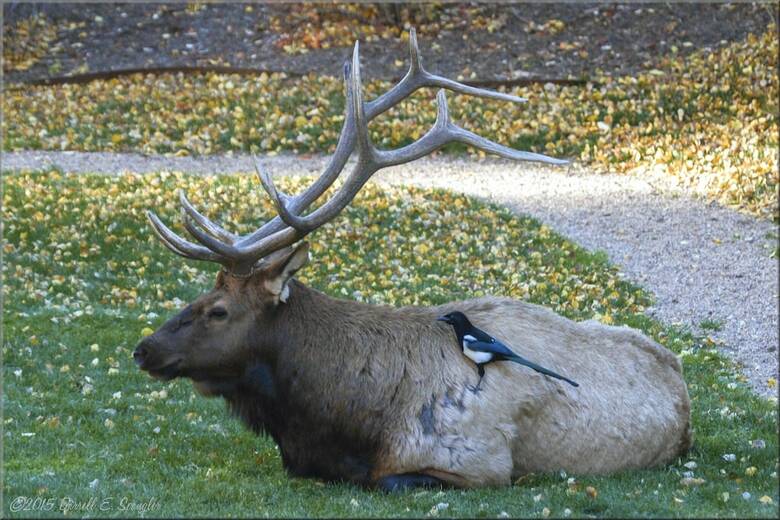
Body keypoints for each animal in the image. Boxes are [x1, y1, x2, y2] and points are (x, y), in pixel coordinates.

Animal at [134, 30, 692, 491]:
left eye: (218, 310)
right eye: (201, 294)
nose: (143, 349)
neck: (343, 419)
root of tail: (683, 387)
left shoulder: (476, 462)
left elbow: (385, 481)